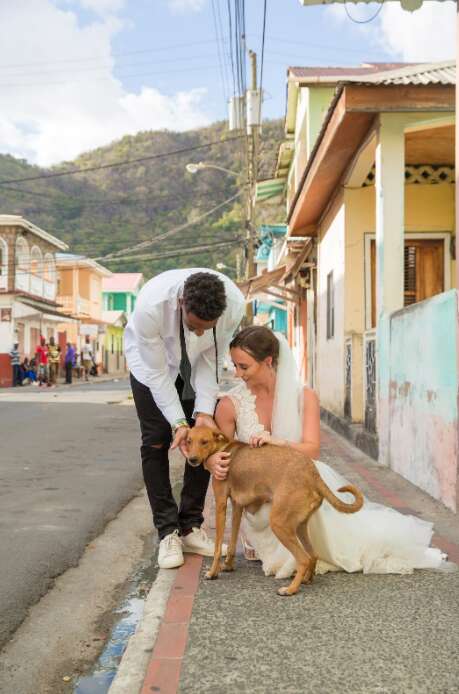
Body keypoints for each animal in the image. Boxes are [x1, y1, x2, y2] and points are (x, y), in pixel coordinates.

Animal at [185, 424, 364, 600]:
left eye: (204, 442)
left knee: (303, 559)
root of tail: (313, 474)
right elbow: (232, 542)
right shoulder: (237, 507)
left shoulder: (221, 504)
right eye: (189, 441)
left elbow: (217, 548)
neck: (222, 449)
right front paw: (228, 565)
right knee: (313, 554)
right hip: (299, 526)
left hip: (279, 524)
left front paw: (212, 572)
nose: (192, 459)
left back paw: (290, 589)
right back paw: (306, 579)